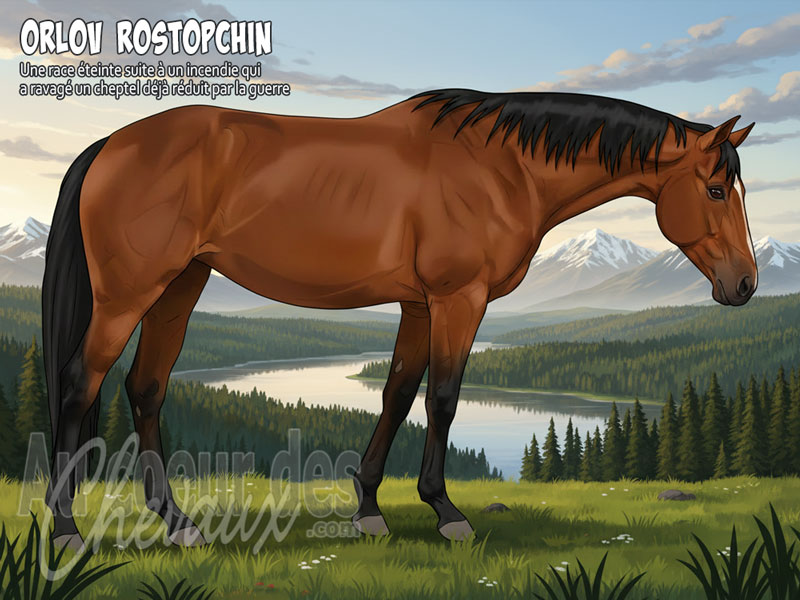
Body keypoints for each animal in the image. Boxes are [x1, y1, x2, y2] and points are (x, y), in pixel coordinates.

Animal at [42, 88, 757, 550]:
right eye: (716, 190)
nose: (744, 284)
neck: (501, 168)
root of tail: (111, 143)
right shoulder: (458, 298)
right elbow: (442, 397)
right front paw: (446, 512)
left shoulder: (419, 303)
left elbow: (396, 392)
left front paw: (368, 508)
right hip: (128, 294)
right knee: (80, 383)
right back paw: (67, 528)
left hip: (179, 286)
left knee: (145, 388)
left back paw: (177, 522)